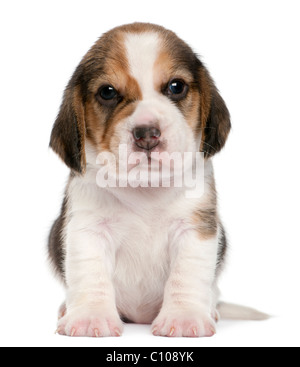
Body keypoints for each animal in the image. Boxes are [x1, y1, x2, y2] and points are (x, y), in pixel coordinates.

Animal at [48, 23, 260, 340]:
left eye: (176, 86)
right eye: (108, 92)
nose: (147, 134)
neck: (145, 189)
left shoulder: (195, 229)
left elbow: (187, 275)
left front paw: (184, 317)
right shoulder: (87, 229)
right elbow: (90, 274)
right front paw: (90, 317)